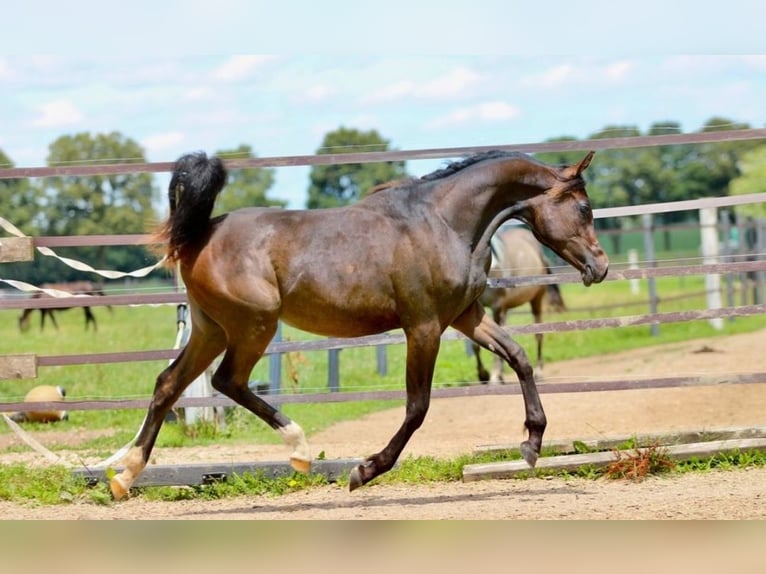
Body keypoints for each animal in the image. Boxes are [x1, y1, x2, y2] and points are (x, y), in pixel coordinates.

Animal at [474, 227, 568, 384]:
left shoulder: (497, 306)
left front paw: (494, 377)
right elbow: (476, 345)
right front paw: (483, 376)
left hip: (536, 299)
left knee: (539, 335)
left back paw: (538, 372)